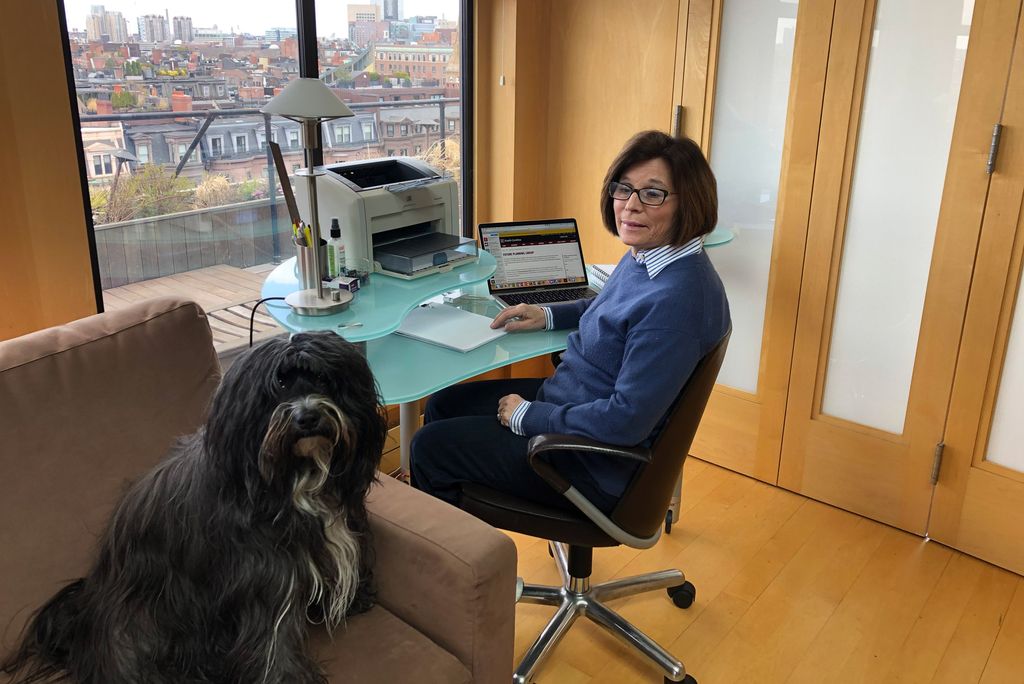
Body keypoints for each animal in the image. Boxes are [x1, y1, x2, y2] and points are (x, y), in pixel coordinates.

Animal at [0, 327, 387, 679]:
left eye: (322, 378)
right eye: (277, 386)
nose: (307, 417)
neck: (295, 476)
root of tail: (87, 609)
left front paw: (355, 598)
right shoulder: (263, 577)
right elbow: (270, 642)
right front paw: (284, 676)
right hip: (139, 622)